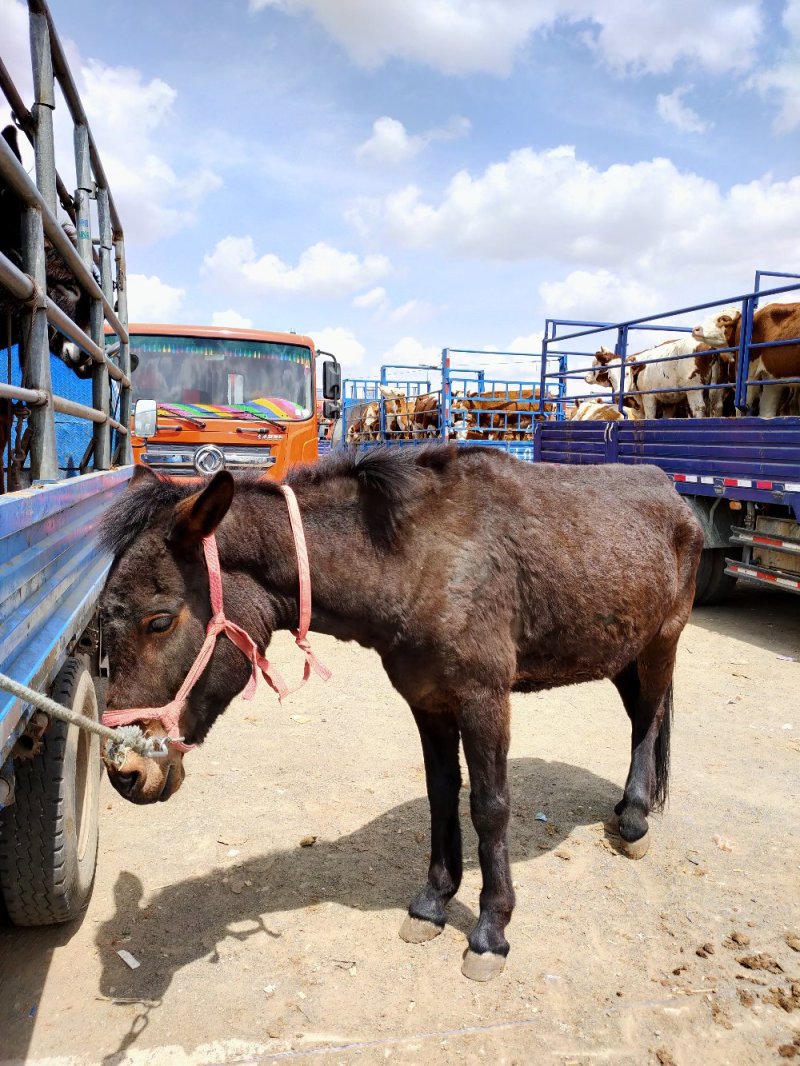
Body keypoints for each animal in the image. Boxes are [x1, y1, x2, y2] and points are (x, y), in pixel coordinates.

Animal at [98, 445, 703, 982]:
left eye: (159, 620)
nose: (125, 772)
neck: (416, 560)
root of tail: (672, 494)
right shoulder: (428, 701)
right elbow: (441, 795)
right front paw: (433, 902)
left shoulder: (484, 700)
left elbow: (490, 808)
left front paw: (491, 931)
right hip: (621, 653)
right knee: (639, 718)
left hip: (662, 643)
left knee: (649, 721)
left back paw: (634, 818)